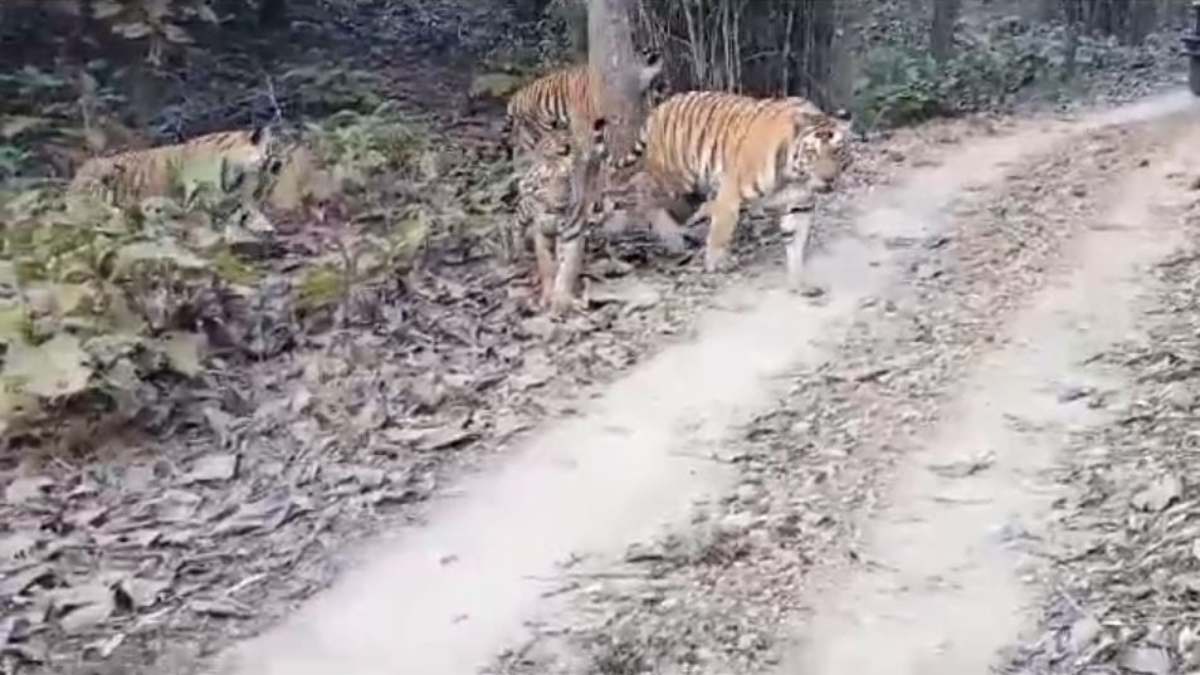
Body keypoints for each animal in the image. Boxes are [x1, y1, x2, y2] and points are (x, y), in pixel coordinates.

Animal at [502, 49, 664, 161]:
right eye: (652, 57)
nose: (662, 86)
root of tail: (516, 97)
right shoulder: (581, 114)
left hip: (539, 123)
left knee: (526, 141)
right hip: (541, 123)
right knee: (534, 139)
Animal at [514, 117, 611, 314]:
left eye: (565, 181)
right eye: (544, 182)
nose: (558, 204)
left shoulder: (571, 236)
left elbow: (566, 269)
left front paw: (561, 300)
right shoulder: (542, 233)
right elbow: (547, 266)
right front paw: (547, 296)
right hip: (525, 209)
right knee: (517, 223)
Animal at [610, 90, 852, 285]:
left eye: (837, 151)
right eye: (812, 153)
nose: (829, 179)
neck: (795, 175)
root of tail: (658, 108)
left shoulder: (800, 204)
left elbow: (797, 243)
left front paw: (799, 279)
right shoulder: (731, 193)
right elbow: (720, 234)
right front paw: (714, 265)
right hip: (676, 179)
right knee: (642, 189)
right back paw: (669, 236)